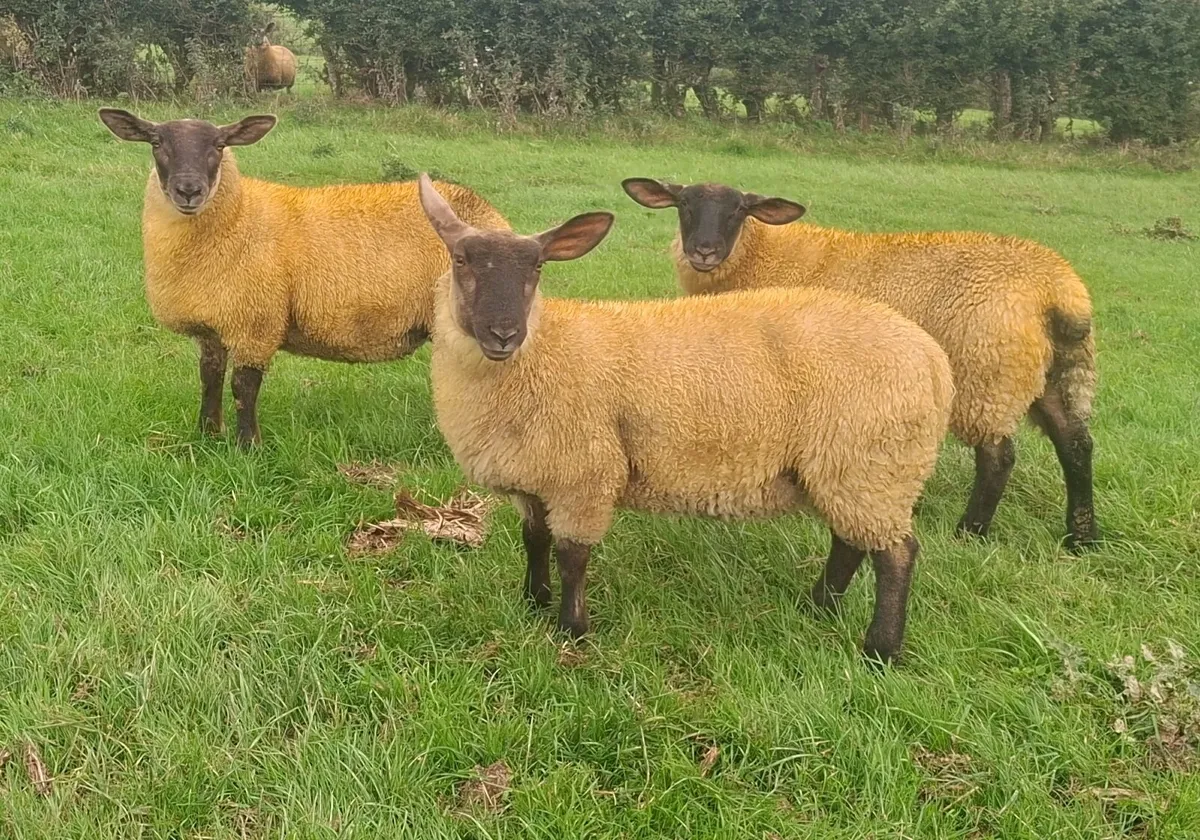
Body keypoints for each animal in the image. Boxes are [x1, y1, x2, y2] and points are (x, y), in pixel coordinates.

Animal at [97, 108, 510, 447]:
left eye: (219, 144)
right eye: (156, 143)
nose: (188, 190)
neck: (239, 217)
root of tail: (482, 207)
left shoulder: (256, 323)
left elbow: (243, 388)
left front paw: (248, 447)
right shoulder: (212, 328)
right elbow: (209, 379)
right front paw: (207, 434)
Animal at [417, 173, 954, 663]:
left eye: (537, 266)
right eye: (461, 260)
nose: (503, 333)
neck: (545, 351)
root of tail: (933, 359)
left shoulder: (585, 474)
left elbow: (572, 556)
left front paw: (571, 630)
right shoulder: (535, 476)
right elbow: (534, 540)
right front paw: (533, 603)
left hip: (873, 461)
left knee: (896, 554)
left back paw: (880, 650)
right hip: (850, 467)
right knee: (850, 541)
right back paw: (819, 606)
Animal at [622, 178, 1098, 551]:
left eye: (739, 209)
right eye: (684, 204)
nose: (703, 252)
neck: (762, 256)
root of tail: (1059, 288)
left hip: (987, 373)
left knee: (998, 457)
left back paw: (971, 532)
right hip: (1046, 373)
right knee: (1075, 443)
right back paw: (1082, 538)